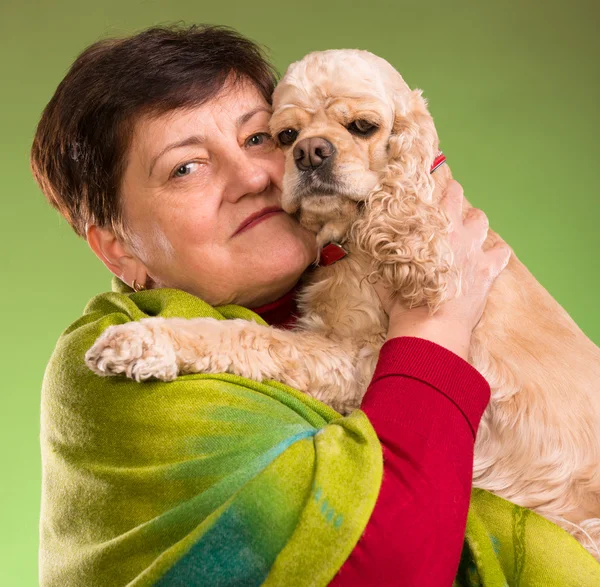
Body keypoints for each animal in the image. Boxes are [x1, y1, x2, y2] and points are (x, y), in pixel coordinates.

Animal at [85, 50, 600, 560]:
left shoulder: (357, 358)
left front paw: (141, 340)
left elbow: (246, 335)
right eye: (284, 136)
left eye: (363, 127)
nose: (310, 152)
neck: (357, 236)